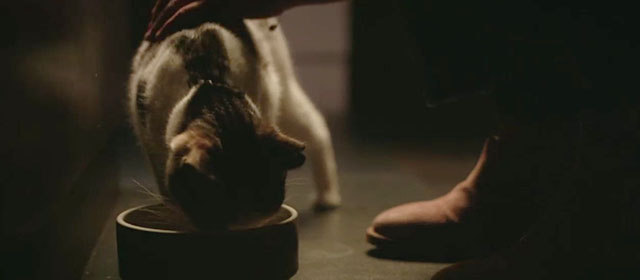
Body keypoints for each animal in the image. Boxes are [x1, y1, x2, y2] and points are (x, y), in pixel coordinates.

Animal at [127, 18, 342, 231]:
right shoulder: (150, 143)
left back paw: (328, 196)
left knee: (318, 127)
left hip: (283, 91)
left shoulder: (266, 98)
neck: (209, 82)